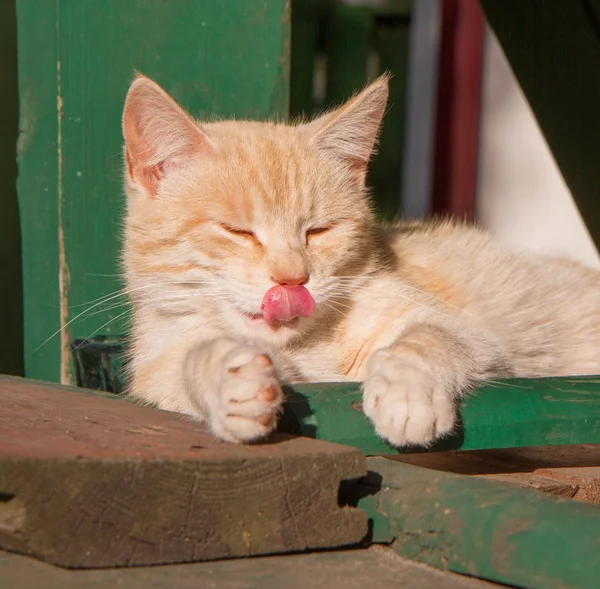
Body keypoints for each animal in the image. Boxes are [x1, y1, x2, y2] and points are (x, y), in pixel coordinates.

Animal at [122, 76, 600, 448]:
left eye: (319, 231)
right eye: (238, 231)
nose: (292, 280)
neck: (305, 345)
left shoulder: (461, 330)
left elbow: (423, 341)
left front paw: (406, 392)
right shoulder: (155, 371)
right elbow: (190, 363)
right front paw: (231, 381)